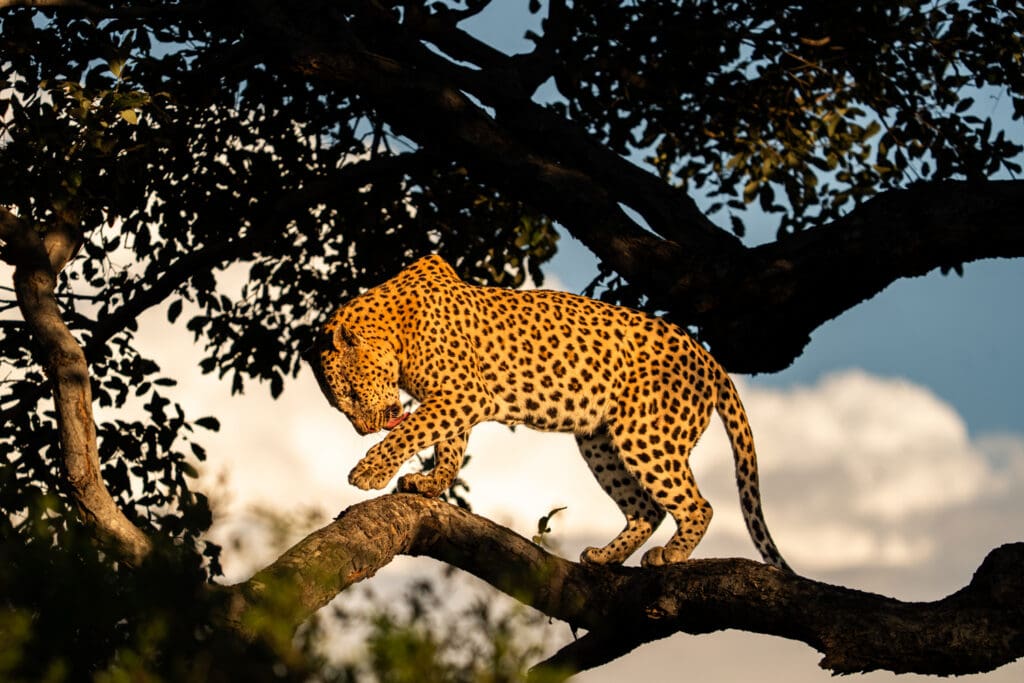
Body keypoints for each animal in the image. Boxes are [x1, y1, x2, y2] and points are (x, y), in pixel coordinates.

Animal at [312, 254, 790, 570]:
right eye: (341, 402)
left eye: (350, 394)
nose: (362, 429)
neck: (394, 327)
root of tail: (707, 357)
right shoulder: (456, 398)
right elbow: (447, 445)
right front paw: (429, 483)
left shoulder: (464, 393)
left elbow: (413, 430)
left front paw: (368, 472)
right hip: (601, 442)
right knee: (646, 509)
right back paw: (604, 557)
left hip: (647, 435)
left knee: (697, 504)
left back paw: (670, 554)